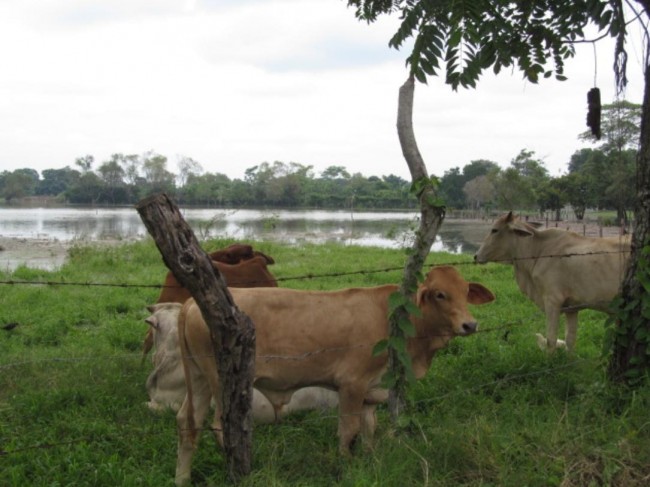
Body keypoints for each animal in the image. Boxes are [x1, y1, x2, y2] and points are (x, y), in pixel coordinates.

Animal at [172, 268, 492, 486]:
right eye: (440, 294)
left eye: (466, 291)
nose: (470, 324)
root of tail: (190, 303)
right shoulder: (351, 384)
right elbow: (348, 431)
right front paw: (346, 466)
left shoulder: (371, 391)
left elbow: (369, 429)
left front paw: (370, 461)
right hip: (222, 381)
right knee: (219, 425)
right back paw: (242, 471)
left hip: (199, 379)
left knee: (188, 422)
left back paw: (182, 478)